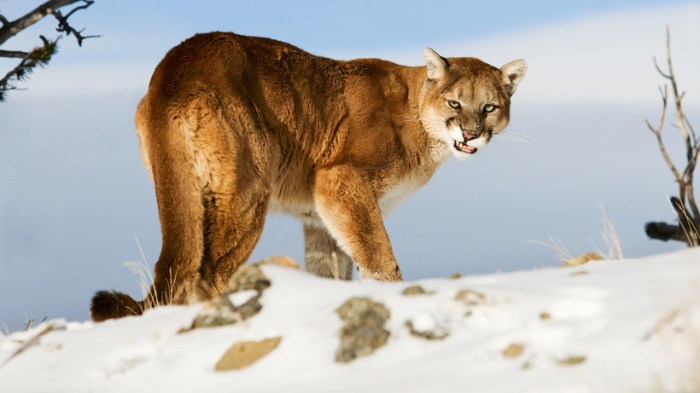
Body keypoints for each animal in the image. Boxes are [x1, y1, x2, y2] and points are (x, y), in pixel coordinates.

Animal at [89, 33, 524, 322]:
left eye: (489, 107)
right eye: (455, 103)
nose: (470, 133)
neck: (418, 114)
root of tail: (174, 67)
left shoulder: (319, 214)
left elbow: (332, 268)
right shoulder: (340, 180)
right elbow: (378, 256)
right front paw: (394, 294)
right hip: (245, 192)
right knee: (208, 271)